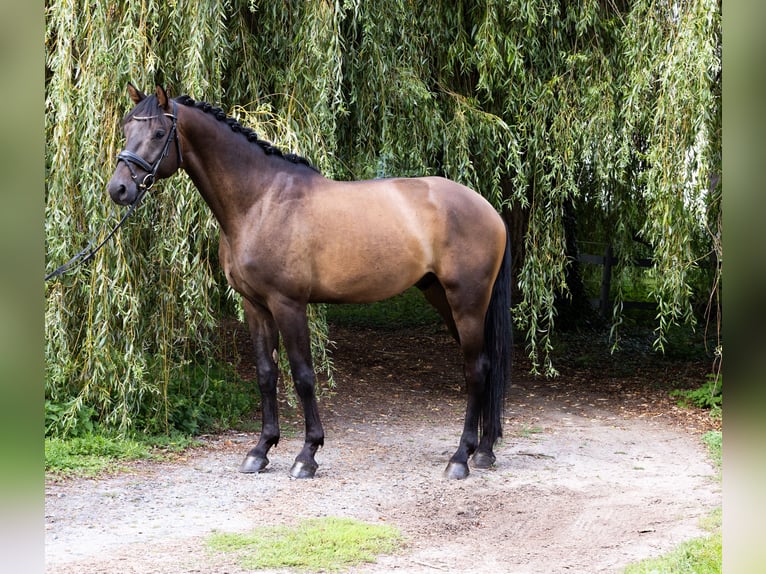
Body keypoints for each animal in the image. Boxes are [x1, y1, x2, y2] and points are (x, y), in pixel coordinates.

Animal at [105, 85, 512, 482]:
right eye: (125, 128)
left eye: (159, 133)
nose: (118, 189)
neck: (260, 201)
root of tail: (488, 209)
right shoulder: (255, 305)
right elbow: (266, 374)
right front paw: (260, 450)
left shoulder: (288, 304)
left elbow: (302, 376)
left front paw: (307, 455)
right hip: (442, 297)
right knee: (488, 366)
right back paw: (484, 452)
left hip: (466, 303)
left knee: (475, 370)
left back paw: (460, 458)